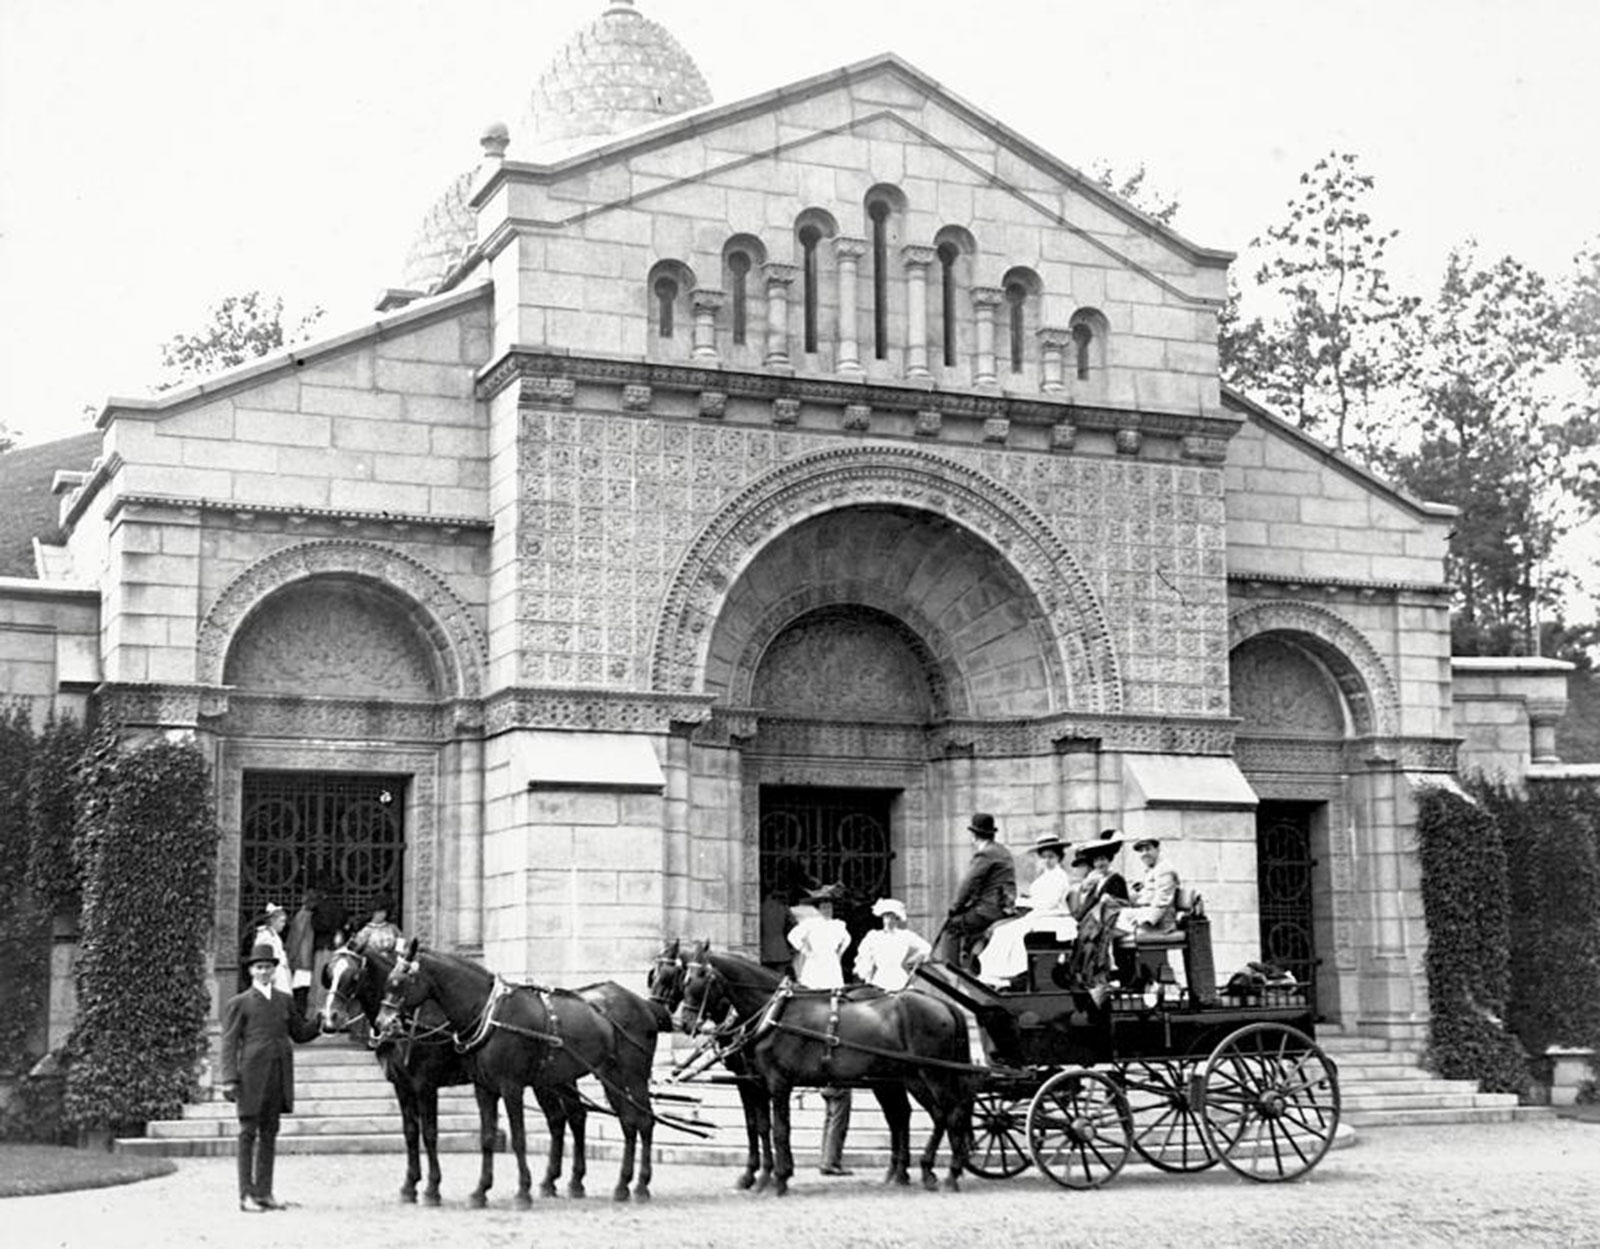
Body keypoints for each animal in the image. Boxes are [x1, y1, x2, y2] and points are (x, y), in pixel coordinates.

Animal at [321, 940, 598, 1202]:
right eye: (330, 972)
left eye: (353, 976)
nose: (329, 1018)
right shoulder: (402, 1086)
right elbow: (410, 1133)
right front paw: (410, 1185)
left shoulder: (424, 1085)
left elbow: (429, 1133)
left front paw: (432, 1188)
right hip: (549, 1081)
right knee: (560, 1119)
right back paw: (552, 1181)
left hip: (552, 1080)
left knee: (572, 1117)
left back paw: (573, 1181)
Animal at [377, 940, 665, 1202]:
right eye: (388, 980)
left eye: (400, 982)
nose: (383, 1024)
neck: (488, 1014)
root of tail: (642, 1003)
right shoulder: (483, 1088)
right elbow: (487, 1137)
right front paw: (481, 1190)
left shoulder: (509, 1087)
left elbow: (518, 1138)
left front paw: (523, 1190)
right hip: (606, 1078)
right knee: (626, 1122)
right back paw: (620, 1185)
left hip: (634, 1076)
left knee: (644, 1121)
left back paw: (640, 1185)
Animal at [675, 940, 972, 1196]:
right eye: (684, 980)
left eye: (701, 977)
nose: (685, 1023)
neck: (774, 1013)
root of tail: (945, 1004)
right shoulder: (755, 1081)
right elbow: (760, 1127)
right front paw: (761, 1177)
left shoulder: (776, 1083)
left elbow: (779, 1129)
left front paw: (779, 1177)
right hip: (908, 1078)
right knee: (923, 1115)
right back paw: (916, 1173)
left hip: (932, 1074)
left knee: (950, 1113)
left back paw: (948, 1174)